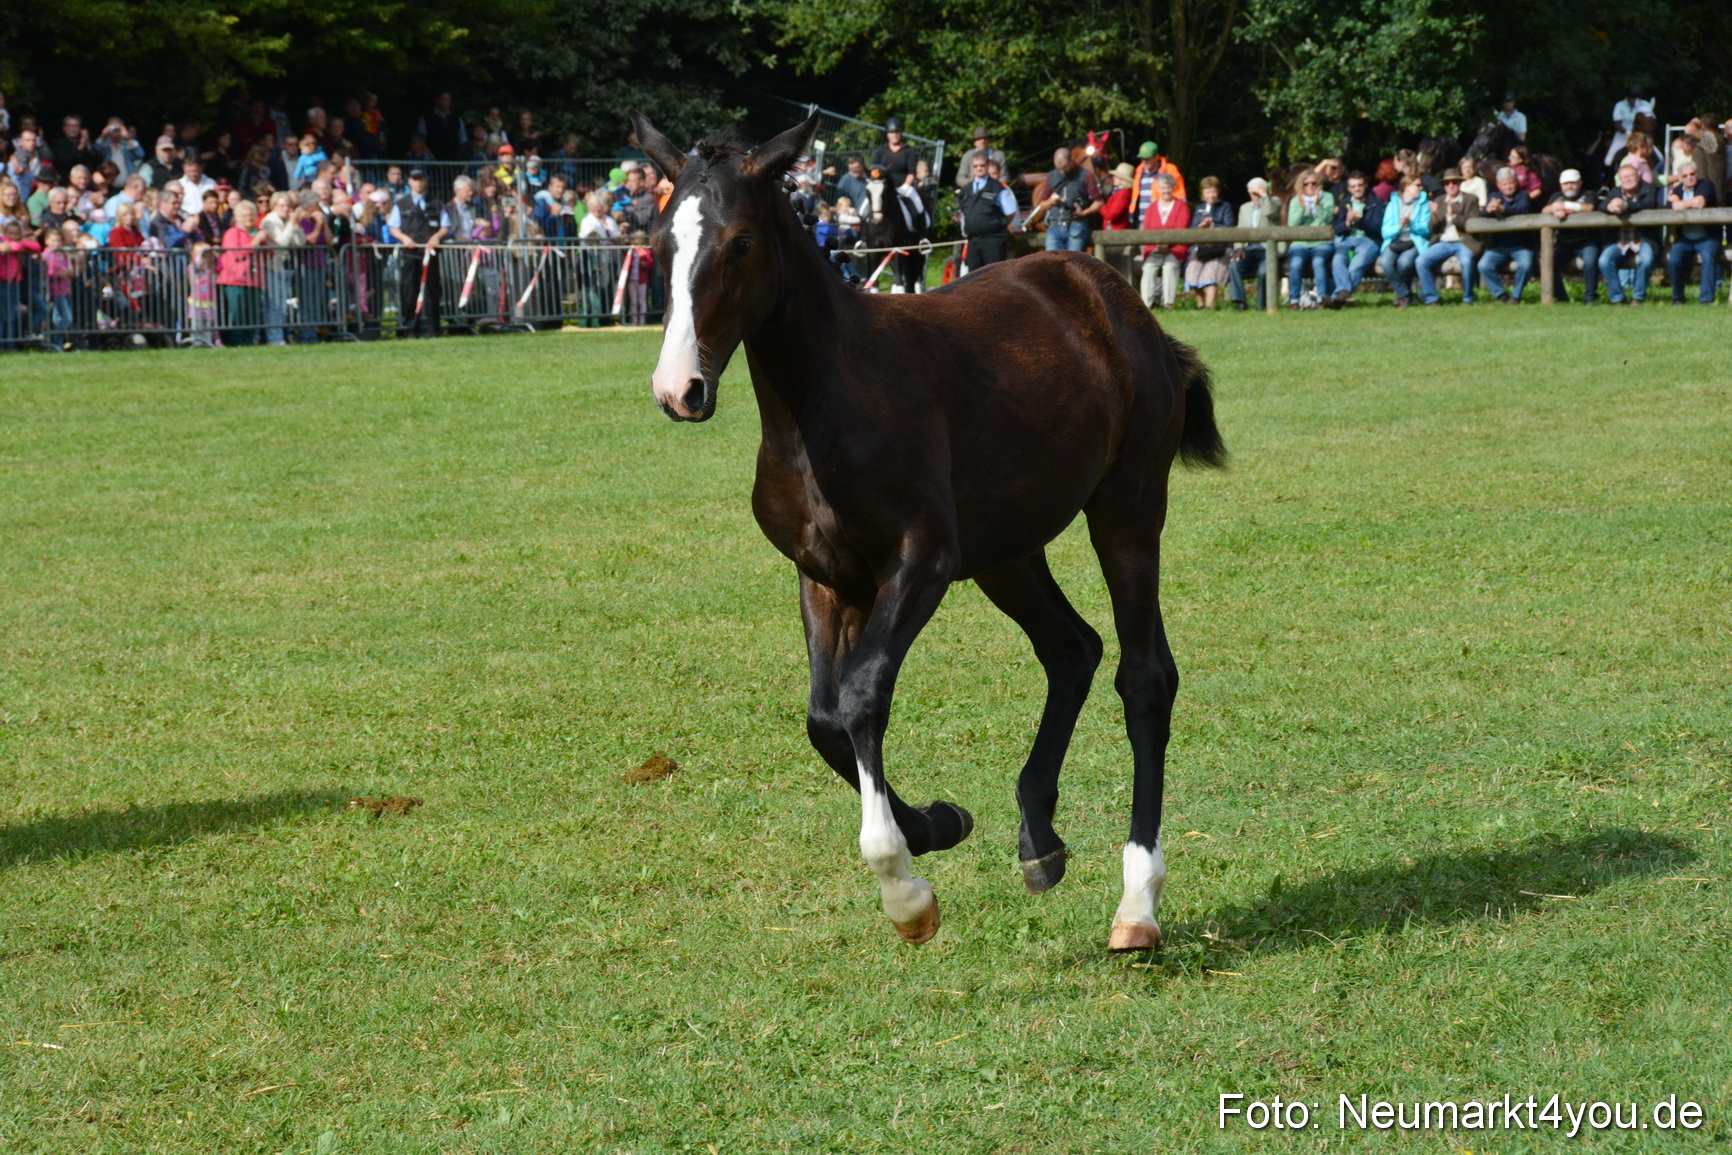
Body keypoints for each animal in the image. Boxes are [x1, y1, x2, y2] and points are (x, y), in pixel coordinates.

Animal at [628, 107, 1227, 951]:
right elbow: (825, 717)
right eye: (658, 240)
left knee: (1144, 678)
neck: (822, 404)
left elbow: (862, 693)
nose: (678, 389)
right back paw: (1038, 835)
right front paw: (938, 822)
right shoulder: (824, 575)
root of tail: (1117, 300)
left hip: (1129, 510)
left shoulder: (922, 561)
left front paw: (904, 887)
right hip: (1008, 550)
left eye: (740, 241)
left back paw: (1137, 903)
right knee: (1071, 648)